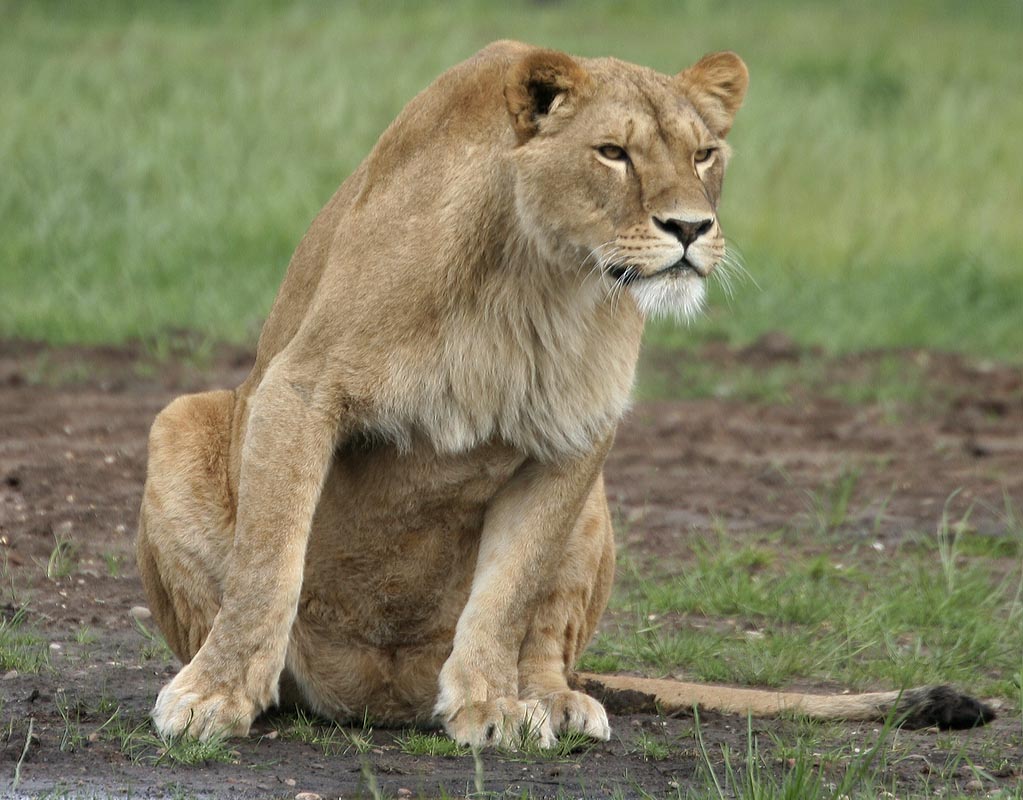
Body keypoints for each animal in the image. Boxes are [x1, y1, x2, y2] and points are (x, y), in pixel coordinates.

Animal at [136, 40, 993, 748]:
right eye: (612, 153)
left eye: (704, 153)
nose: (691, 228)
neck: (536, 276)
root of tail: (379, 696)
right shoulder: (302, 387)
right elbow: (267, 562)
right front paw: (215, 695)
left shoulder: (579, 432)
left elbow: (510, 589)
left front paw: (491, 704)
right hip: (181, 418)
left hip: (596, 506)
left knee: (549, 644)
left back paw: (556, 702)